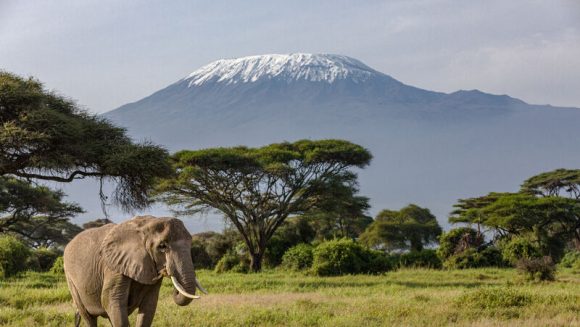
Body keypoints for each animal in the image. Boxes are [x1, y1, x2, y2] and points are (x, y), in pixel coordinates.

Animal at [63, 217, 206, 326]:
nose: (168, 271)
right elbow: (112, 300)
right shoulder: (113, 266)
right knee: (88, 316)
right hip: (70, 279)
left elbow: (149, 305)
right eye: (162, 246)